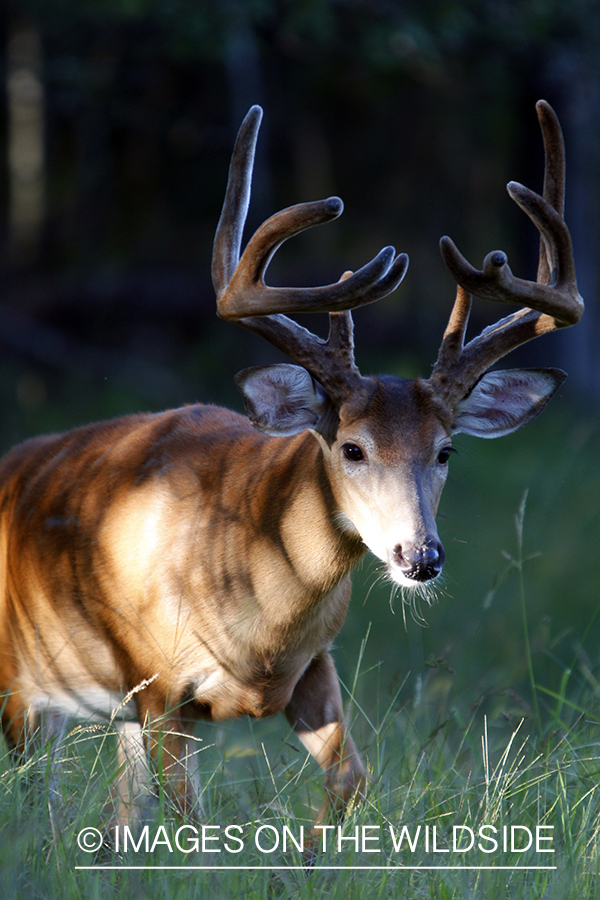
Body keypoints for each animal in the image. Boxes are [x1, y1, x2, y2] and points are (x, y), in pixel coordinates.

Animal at [0, 100, 584, 836]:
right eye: (352, 448)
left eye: (446, 450)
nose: (420, 557)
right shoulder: (160, 685)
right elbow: (190, 821)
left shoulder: (314, 669)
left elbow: (351, 778)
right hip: (25, 688)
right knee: (37, 799)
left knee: (109, 812)